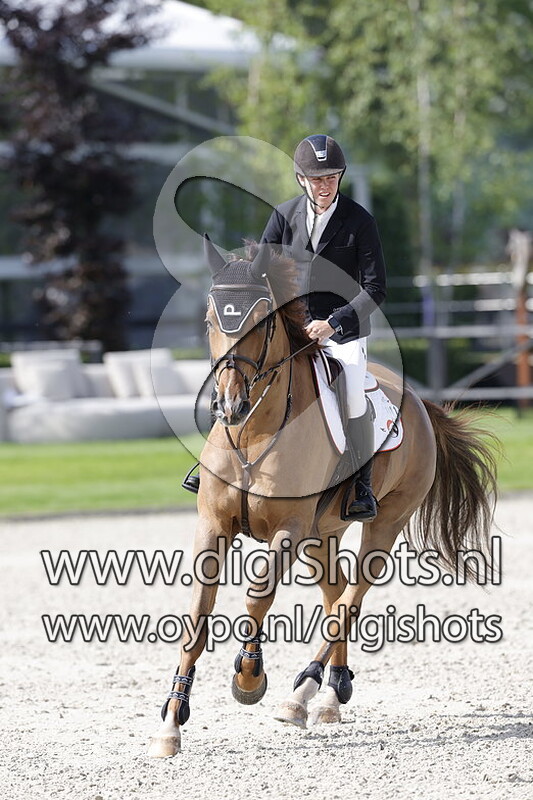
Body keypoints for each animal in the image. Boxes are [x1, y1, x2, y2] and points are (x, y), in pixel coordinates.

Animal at [148, 238, 497, 757]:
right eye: (211, 320)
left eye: (263, 320)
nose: (229, 405)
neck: (254, 434)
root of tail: (419, 401)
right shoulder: (213, 526)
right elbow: (197, 616)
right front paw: (172, 720)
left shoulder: (288, 531)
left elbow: (257, 597)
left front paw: (250, 680)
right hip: (322, 534)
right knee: (337, 595)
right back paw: (331, 694)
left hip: (383, 523)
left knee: (351, 599)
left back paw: (302, 694)